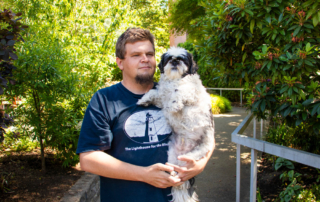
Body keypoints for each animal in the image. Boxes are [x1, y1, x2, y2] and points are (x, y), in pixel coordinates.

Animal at [138, 47, 215, 202]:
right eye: (169, 58)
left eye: (182, 59)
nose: (175, 61)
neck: (175, 80)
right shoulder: (162, 99)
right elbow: (154, 92)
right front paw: (144, 99)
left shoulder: (192, 92)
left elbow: (180, 92)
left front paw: (174, 104)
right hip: (172, 158)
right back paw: (172, 174)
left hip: (191, 158)